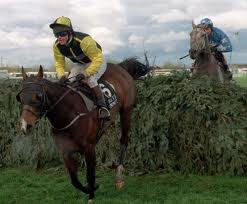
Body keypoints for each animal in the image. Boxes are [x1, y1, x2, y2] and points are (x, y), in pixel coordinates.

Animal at [16, 58, 149, 201]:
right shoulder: (66, 151)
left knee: (123, 140)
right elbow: (74, 180)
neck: (69, 113)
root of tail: (121, 67)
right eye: (20, 97)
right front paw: (90, 187)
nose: (25, 125)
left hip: (126, 112)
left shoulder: (88, 148)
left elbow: (89, 174)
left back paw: (119, 176)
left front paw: (91, 194)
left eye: (38, 96)